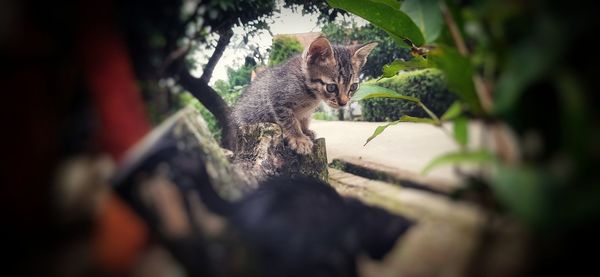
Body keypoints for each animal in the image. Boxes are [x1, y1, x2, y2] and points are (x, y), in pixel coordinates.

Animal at [232, 35, 378, 154]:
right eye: (331, 87)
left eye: (353, 87)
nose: (344, 102)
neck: (310, 93)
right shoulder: (276, 97)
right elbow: (289, 120)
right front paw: (298, 138)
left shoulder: (306, 111)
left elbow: (304, 118)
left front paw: (305, 130)